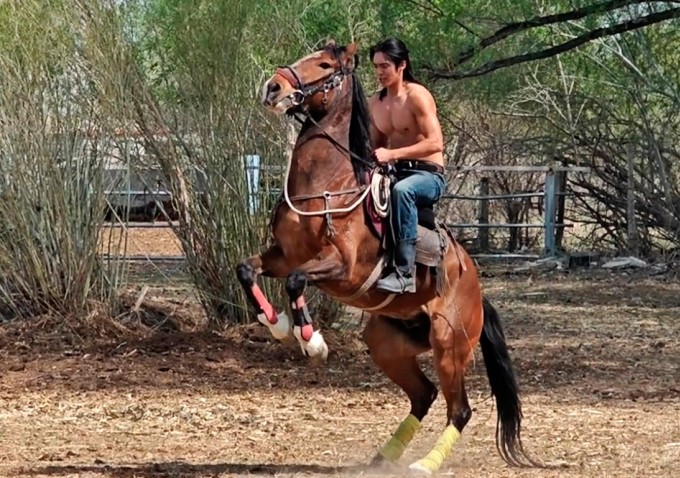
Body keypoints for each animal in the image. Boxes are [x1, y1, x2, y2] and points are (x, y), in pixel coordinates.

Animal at [236, 39, 540, 472]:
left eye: (324, 65)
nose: (273, 87)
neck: (328, 184)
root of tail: (477, 291)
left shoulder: (341, 268)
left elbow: (296, 281)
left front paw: (312, 341)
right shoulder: (282, 255)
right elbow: (246, 269)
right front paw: (277, 325)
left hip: (448, 344)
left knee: (459, 409)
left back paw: (424, 464)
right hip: (387, 343)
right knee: (424, 395)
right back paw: (384, 457)